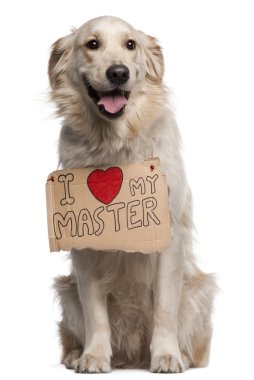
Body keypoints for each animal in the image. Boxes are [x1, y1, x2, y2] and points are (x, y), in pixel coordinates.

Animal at [48, 15, 216, 374]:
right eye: (92, 44)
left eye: (130, 45)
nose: (118, 73)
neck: (115, 143)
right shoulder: (84, 242)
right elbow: (95, 313)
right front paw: (94, 357)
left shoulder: (169, 236)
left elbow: (164, 308)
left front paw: (167, 356)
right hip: (66, 289)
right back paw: (75, 354)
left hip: (199, 290)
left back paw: (185, 357)